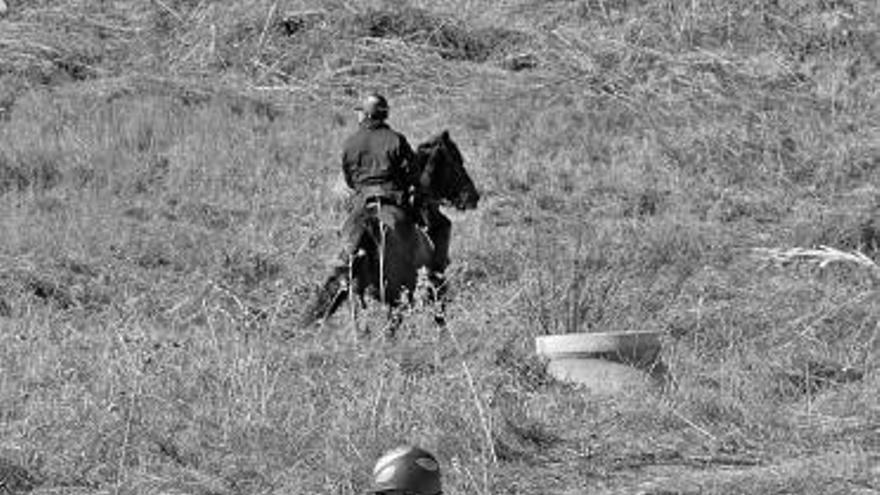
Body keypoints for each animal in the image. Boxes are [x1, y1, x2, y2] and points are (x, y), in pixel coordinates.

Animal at [302, 130, 482, 328]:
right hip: (396, 298)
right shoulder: (434, 283)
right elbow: (439, 313)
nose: (473, 196)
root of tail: (368, 224)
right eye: (456, 161)